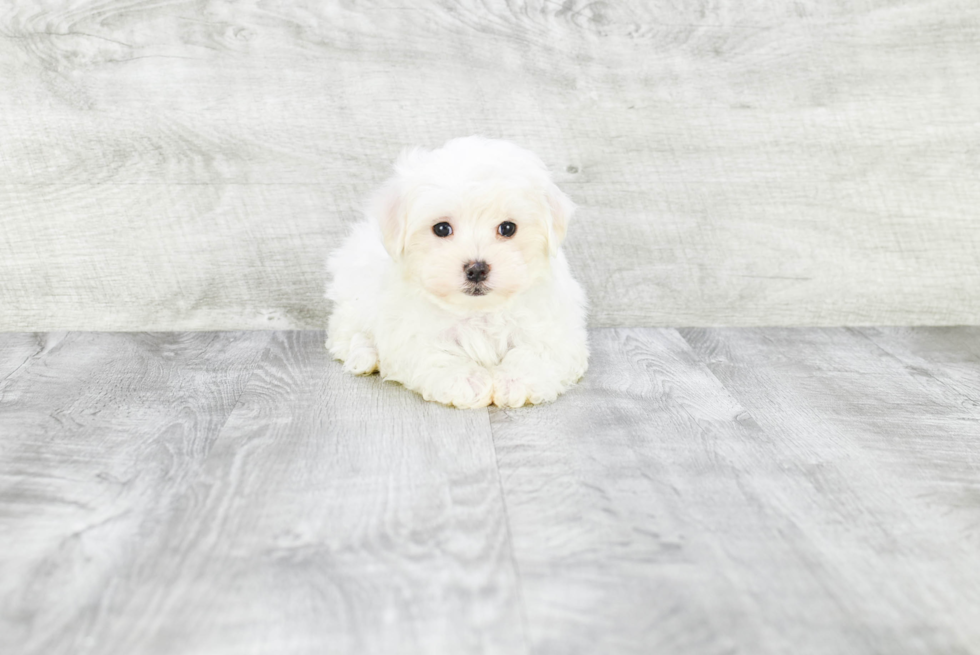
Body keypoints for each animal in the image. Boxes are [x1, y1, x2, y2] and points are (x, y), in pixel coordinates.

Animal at [328, 136, 588, 408]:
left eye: (507, 228)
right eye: (442, 228)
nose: (477, 269)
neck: (478, 311)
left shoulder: (556, 329)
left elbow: (537, 352)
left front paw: (515, 381)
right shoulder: (410, 332)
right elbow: (436, 354)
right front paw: (467, 381)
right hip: (355, 294)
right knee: (344, 331)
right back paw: (365, 355)